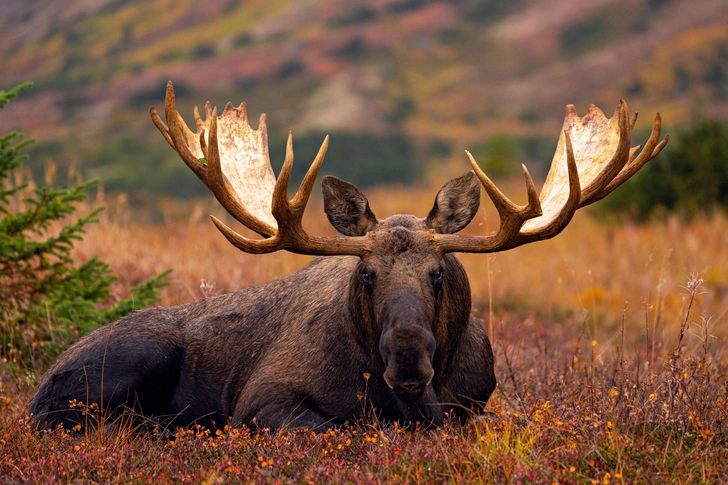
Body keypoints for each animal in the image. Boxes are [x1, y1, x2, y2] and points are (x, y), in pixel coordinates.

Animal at [27, 81, 664, 430]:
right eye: (366, 275)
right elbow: (338, 429)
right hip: (122, 364)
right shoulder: (259, 401)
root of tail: (38, 384)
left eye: (439, 274)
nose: (408, 363)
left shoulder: (474, 404)